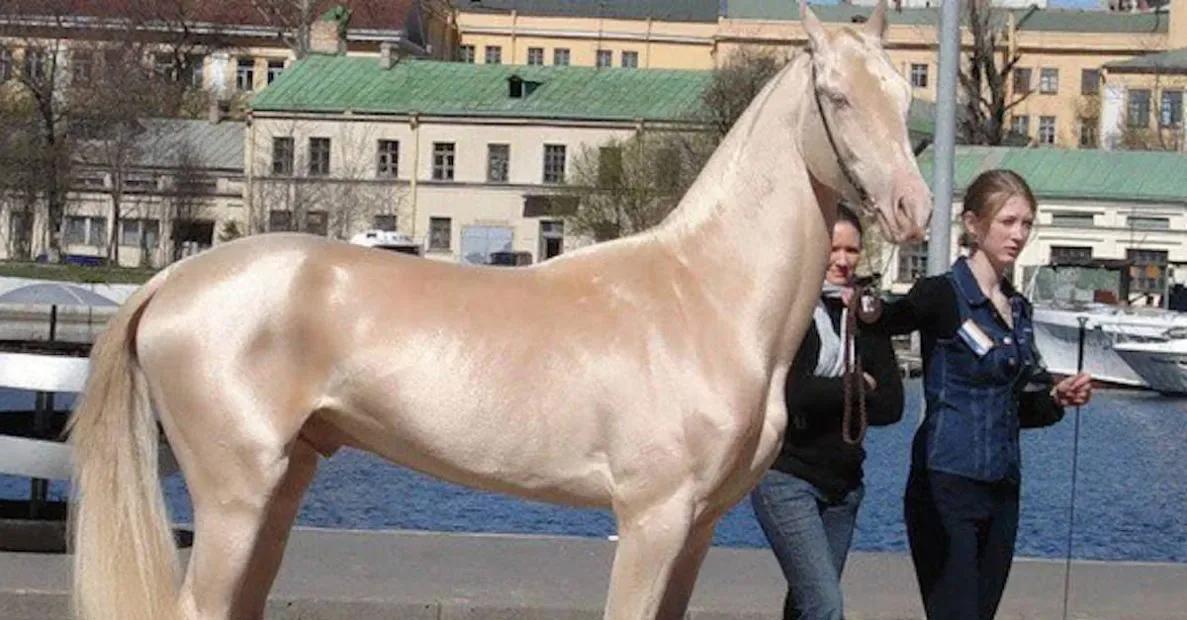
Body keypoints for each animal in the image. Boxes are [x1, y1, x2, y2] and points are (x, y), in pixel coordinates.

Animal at [66, 1, 931, 618]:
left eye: (900, 93)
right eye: (835, 96)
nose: (912, 209)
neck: (704, 295)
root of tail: (172, 282)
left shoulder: (699, 527)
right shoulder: (652, 518)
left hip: (283, 485)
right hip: (235, 494)